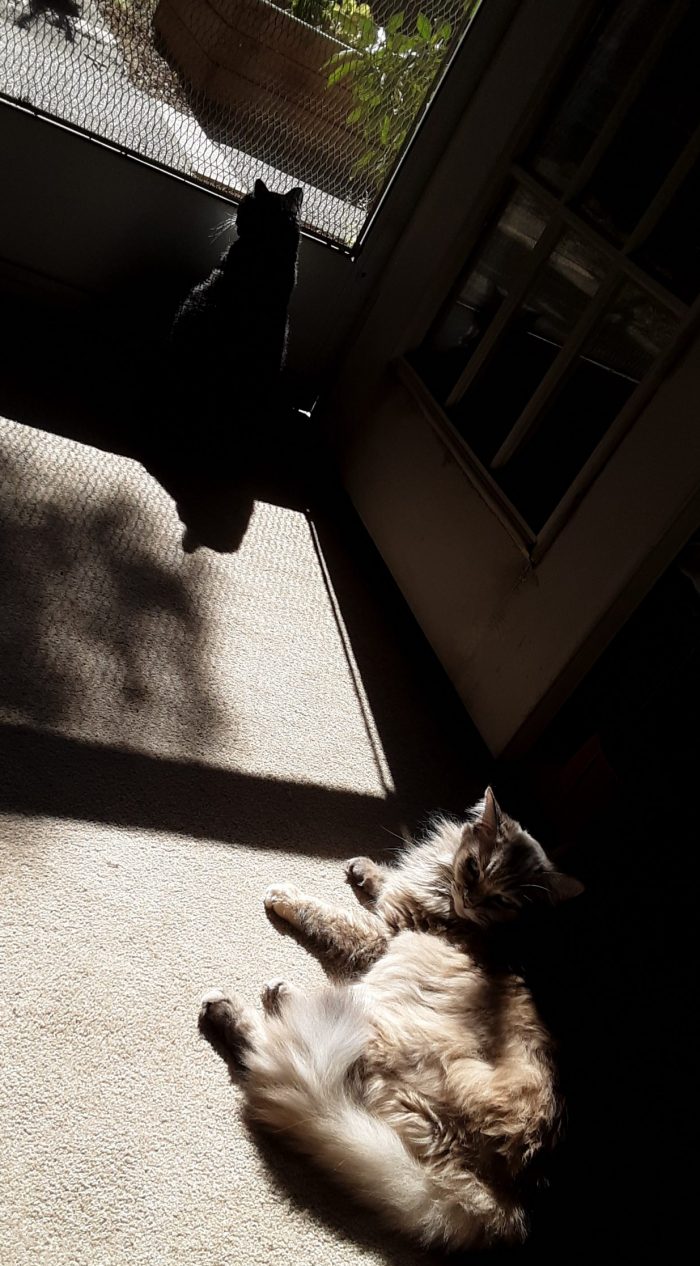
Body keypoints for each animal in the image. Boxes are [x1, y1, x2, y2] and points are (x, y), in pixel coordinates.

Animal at [198, 784, 582, 1250]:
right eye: (473, 867)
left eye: (503, 900)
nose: (470, 898)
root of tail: (503, 1199)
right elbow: (386, 882)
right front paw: (364, 870)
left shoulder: (384, 936)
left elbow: (331, 915)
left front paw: (284, 896)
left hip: (382, 1008)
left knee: (277, 1047)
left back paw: (248, 1002)